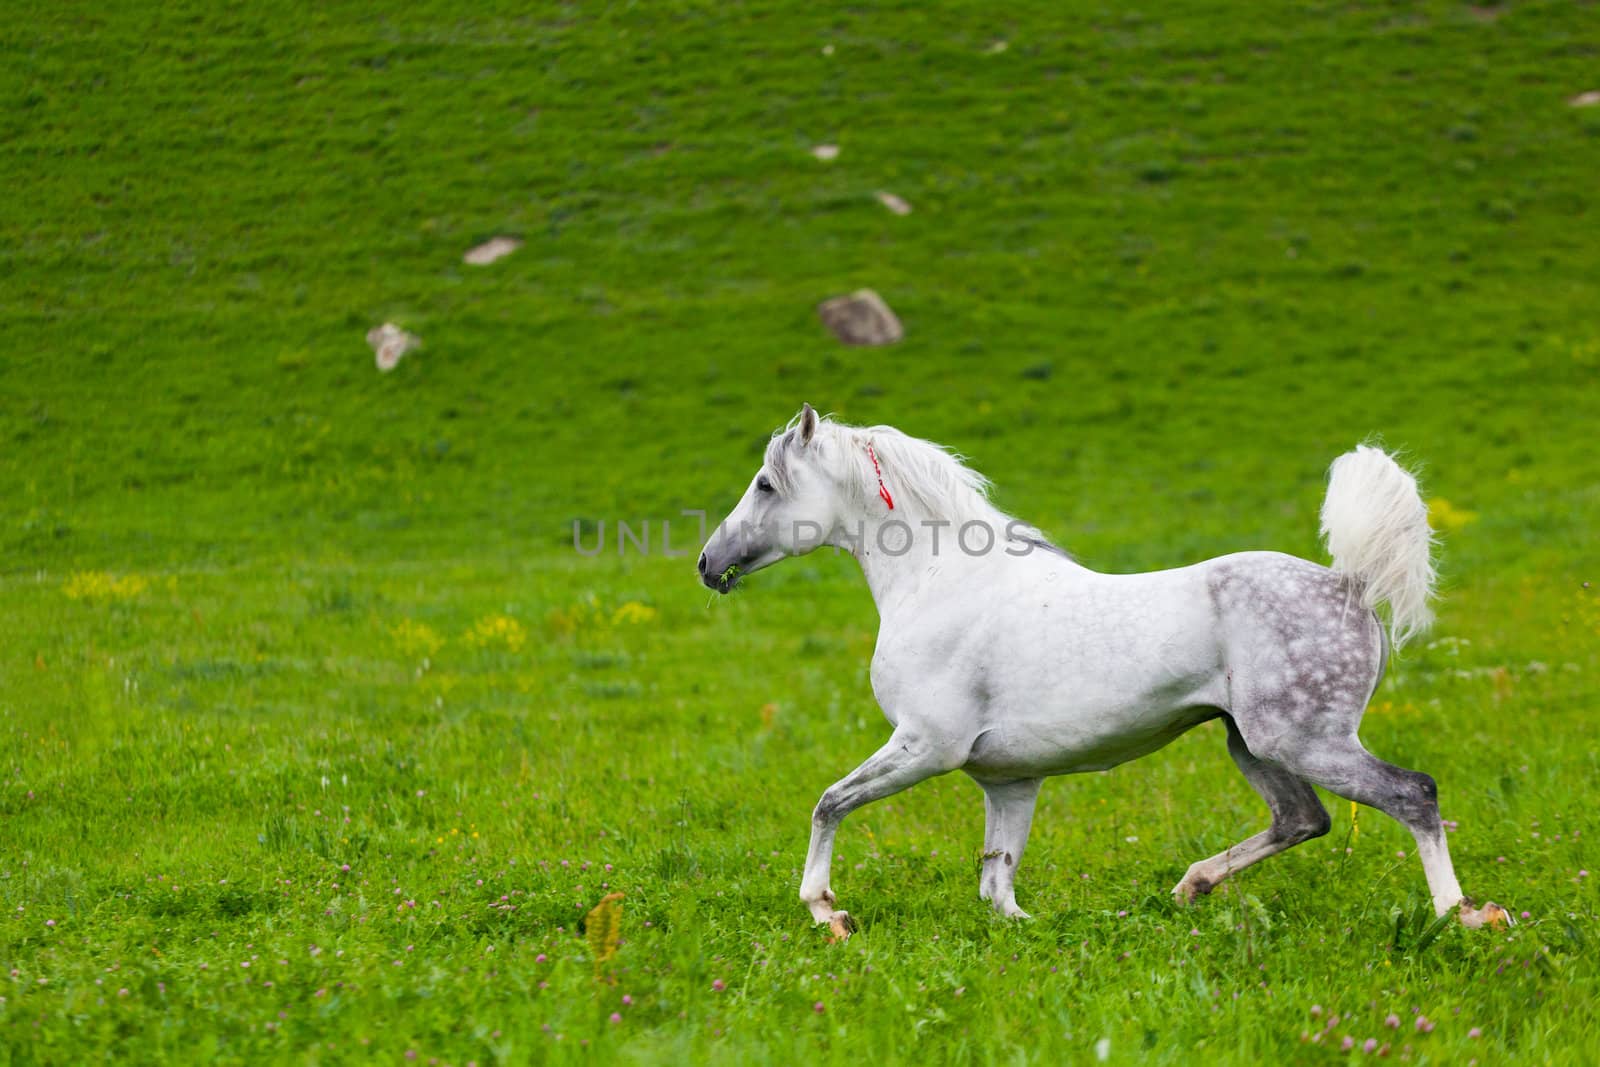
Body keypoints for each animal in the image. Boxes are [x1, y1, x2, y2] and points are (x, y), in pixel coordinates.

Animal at [700, 404, 1510, 940]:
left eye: (766, 484)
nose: (709, 563)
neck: (938, 580)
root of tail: (1353, 585)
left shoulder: (925, 746)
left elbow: (828, 803)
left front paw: (826, 910)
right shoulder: (1009, 780)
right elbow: (998, 881)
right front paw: (1023, 929)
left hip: (1305, 740)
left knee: (1413, 794)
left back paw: (1464, 916)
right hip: (1249, 742)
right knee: (1301, 818)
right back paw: (1191, 887)